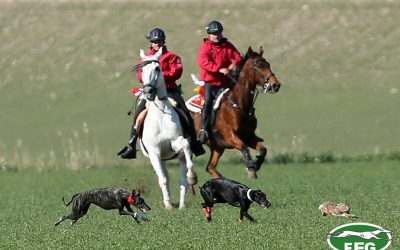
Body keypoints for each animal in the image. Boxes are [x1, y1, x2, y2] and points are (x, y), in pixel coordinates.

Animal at [138, 47, 198, 210]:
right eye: (141, 69)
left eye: (157, 68)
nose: (148, 92)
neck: (160, 117)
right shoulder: (155, 152)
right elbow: (163, 179)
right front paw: (168, 205)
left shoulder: (175, 144)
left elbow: (185, 144)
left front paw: (192, 176)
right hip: (161, 158)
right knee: (166, 176)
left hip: (179, 157)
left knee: (183, 179)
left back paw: (182, 204)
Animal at [188, 47, 280, 179]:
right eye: (258, 65)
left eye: (268, 65)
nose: (275, 85)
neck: (239, 103)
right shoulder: (229, 136)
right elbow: (244, 147)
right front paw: (250, 167)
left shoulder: (248, 136)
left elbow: (263, 149)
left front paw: (256, 165)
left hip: (217, 147)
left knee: (210, 167)